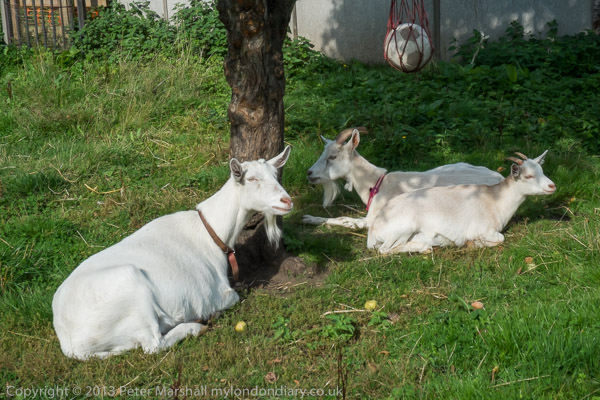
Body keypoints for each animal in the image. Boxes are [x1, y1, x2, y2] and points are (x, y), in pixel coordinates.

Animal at [52, 147, 293, 360]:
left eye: (276, 175)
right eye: (252, 179)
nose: (287, 201)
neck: (210, 231)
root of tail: (70, 342)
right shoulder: (213, 293)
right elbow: (233, 296)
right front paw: (210, 314)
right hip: (133, 291)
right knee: (153, 345)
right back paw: (194, 327)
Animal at [302, 128, 504, 229]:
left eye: (333, 157)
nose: (309, 173)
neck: (376, 183)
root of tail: (501, 177)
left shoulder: (372, 219)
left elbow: (345, 221)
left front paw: (309, 218)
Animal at [367, 151, 555, 254]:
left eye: (542, 170)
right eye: (528, 176)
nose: (552, 186)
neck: (495, 200)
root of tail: (373, 229)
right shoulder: (483, 229)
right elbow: (500, 238)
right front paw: (474, 243)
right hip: (403, 228)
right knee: (384, 250)